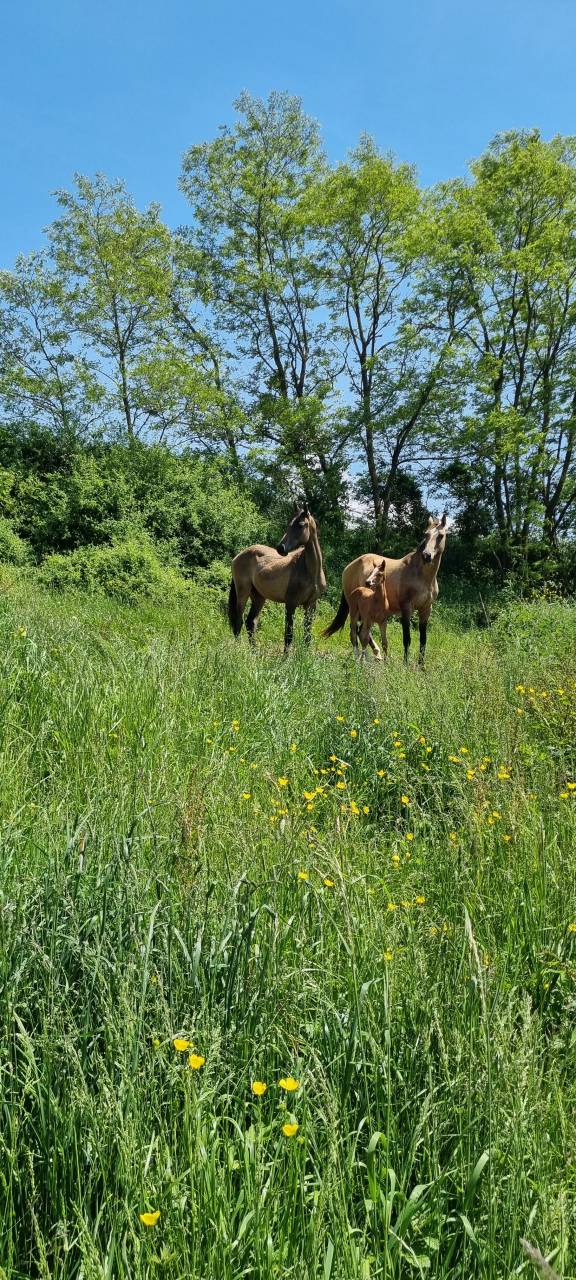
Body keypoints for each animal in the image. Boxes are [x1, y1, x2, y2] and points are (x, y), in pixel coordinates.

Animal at [228, 503, 326, 652]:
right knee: (239, 621)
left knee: (251, 622)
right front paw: (285, 657)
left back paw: (254, 652)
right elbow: (288, 634)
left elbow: (307, 635)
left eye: (301, 525)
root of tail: (238, 556)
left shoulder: (311, 605)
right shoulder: (291, 604)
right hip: (243, 593)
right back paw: (238, 650)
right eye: (289, 524)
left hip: (259, 597)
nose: (281, 548)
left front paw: (305, 655)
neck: (311, 572)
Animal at [322, 514, 448, 665]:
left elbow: (423, 640)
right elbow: (407, 638)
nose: (427, 555)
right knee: (358, 632)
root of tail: (349, 567)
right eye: (426, 534)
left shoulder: (426, 609)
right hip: (358, 610)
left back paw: (376, 655)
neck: (421, 576)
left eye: (440, 535)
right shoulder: (406, 608)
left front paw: (421, 665)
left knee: (361, 632)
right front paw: (405, 664)